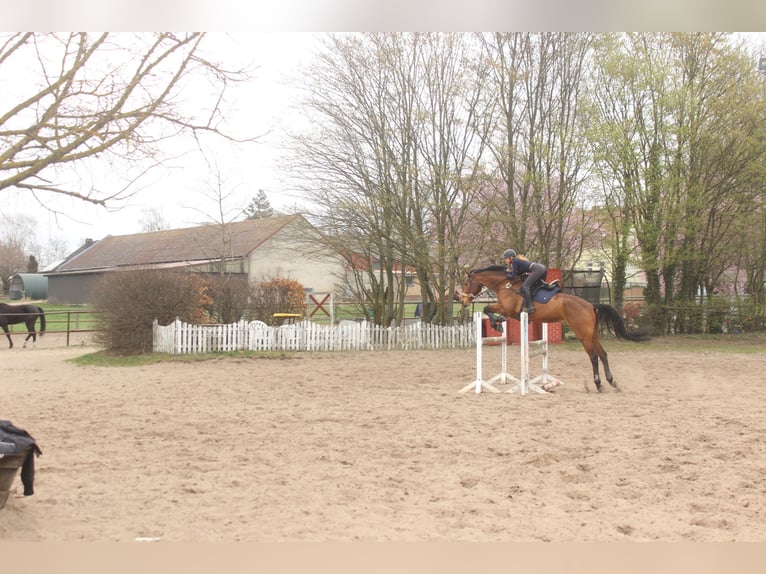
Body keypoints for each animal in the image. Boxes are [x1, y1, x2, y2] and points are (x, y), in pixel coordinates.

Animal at [460, 266, 650, 392]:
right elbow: (488, 309)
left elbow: (487, 308)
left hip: (584, 336)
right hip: (593, 335)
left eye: (467, 282)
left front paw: (496, 322)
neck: (505, 284)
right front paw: (497, 323)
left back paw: (598, 384)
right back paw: (612, 382)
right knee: (603, 355)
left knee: (594, 357)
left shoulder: (508, 309)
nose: (463, 301)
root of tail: (590, 305)